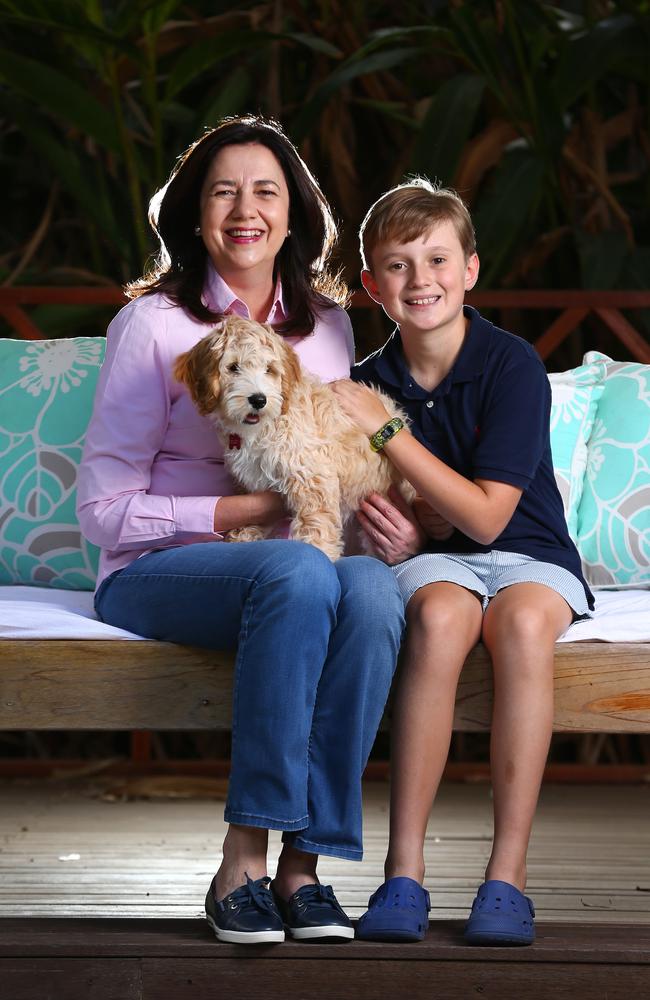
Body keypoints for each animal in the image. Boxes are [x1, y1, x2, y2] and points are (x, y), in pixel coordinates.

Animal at [173, 314, 410, 560]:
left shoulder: (312, 475)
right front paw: (243, 535)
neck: (265, 426)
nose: (259, 399)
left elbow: (316, 523)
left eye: (269, 369)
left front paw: (319, 553)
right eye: (233, 367)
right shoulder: (254, 479)